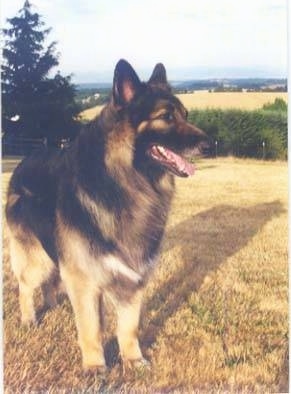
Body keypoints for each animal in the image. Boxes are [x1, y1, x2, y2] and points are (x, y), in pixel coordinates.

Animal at [5, 58, 210, 372]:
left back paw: (51, 305)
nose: (210, 144)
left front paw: (134, 360)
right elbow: (90, 328)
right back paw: (29, 319)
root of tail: (25, 161)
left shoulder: (133, 278)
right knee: (26, 286)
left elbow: (129, 327)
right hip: (36, 257)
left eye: (185, 115)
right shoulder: (84, 279)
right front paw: (95, 368)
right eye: (166, 116)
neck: (124, 183)